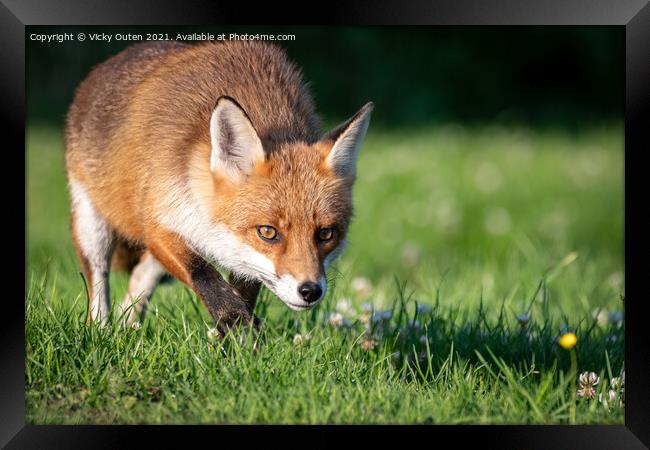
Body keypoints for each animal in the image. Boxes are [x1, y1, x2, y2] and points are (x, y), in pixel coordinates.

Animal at [64, 39, 374, 338]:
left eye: (326, 233)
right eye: (268, 232)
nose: (310, 291)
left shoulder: (240, 256)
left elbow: (244, 291)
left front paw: (235, 346)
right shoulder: (158, 221)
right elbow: (203, 273)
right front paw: (238, 327)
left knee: (142, 275)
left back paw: (129, 327)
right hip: (92, 228)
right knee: (99, 288)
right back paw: (102, 333)